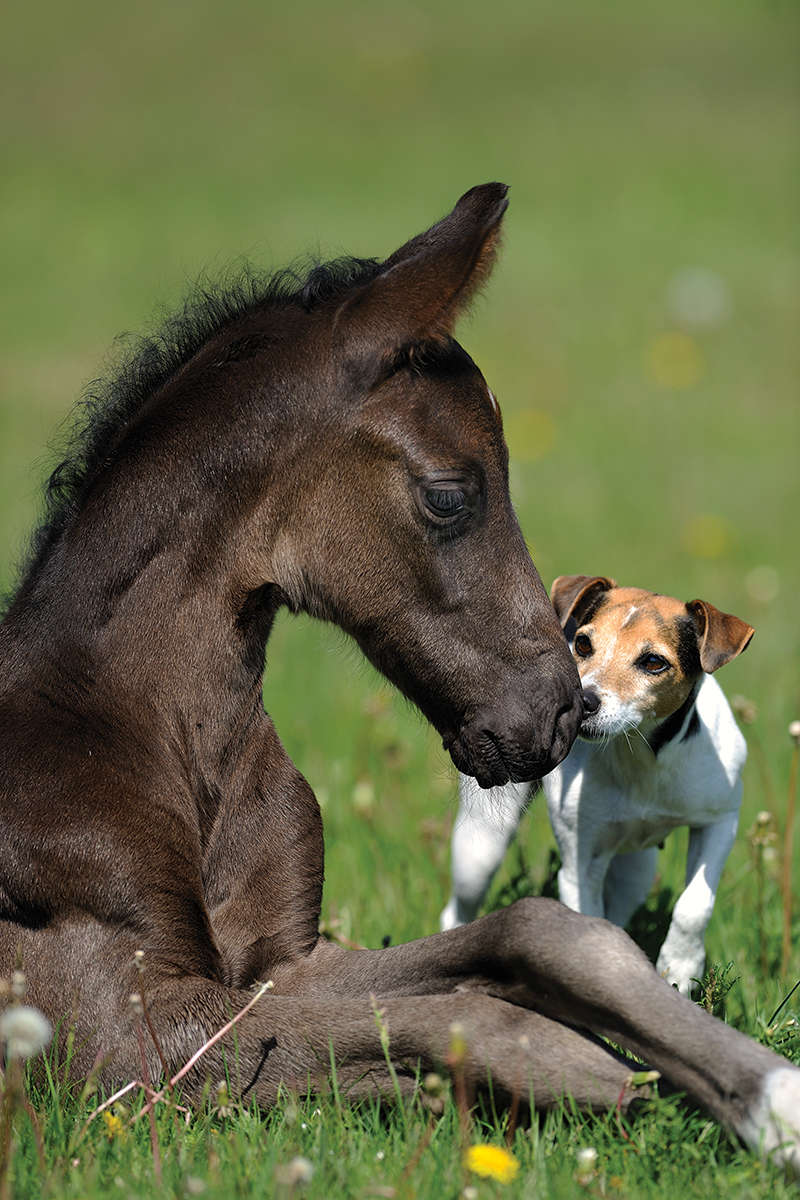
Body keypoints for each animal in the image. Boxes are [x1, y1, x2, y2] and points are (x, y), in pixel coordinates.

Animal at [441, 571, 753, 993]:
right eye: (584, 643)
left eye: (654, 661)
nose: (583, 702)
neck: (641, 757)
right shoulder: (581, 861)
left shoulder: (721, 821)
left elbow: (695, 906)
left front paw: (680, 967)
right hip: (480, 847)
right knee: (459, 907)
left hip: (636, 870)